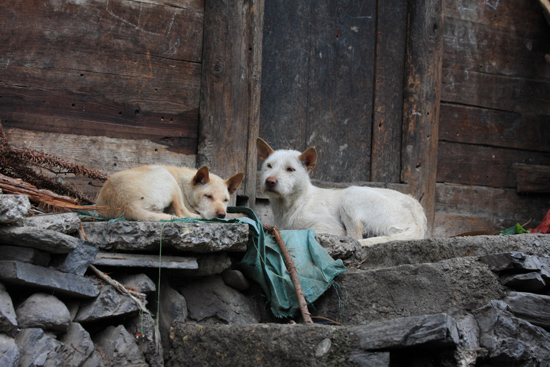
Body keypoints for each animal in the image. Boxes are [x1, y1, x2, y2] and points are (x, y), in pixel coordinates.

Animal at [96, 166, 244, 221]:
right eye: (208, 196)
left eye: (226, 200)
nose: (221, 215)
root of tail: (126, 205)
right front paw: (238, 215)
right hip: (166, 175)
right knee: (183, 214)